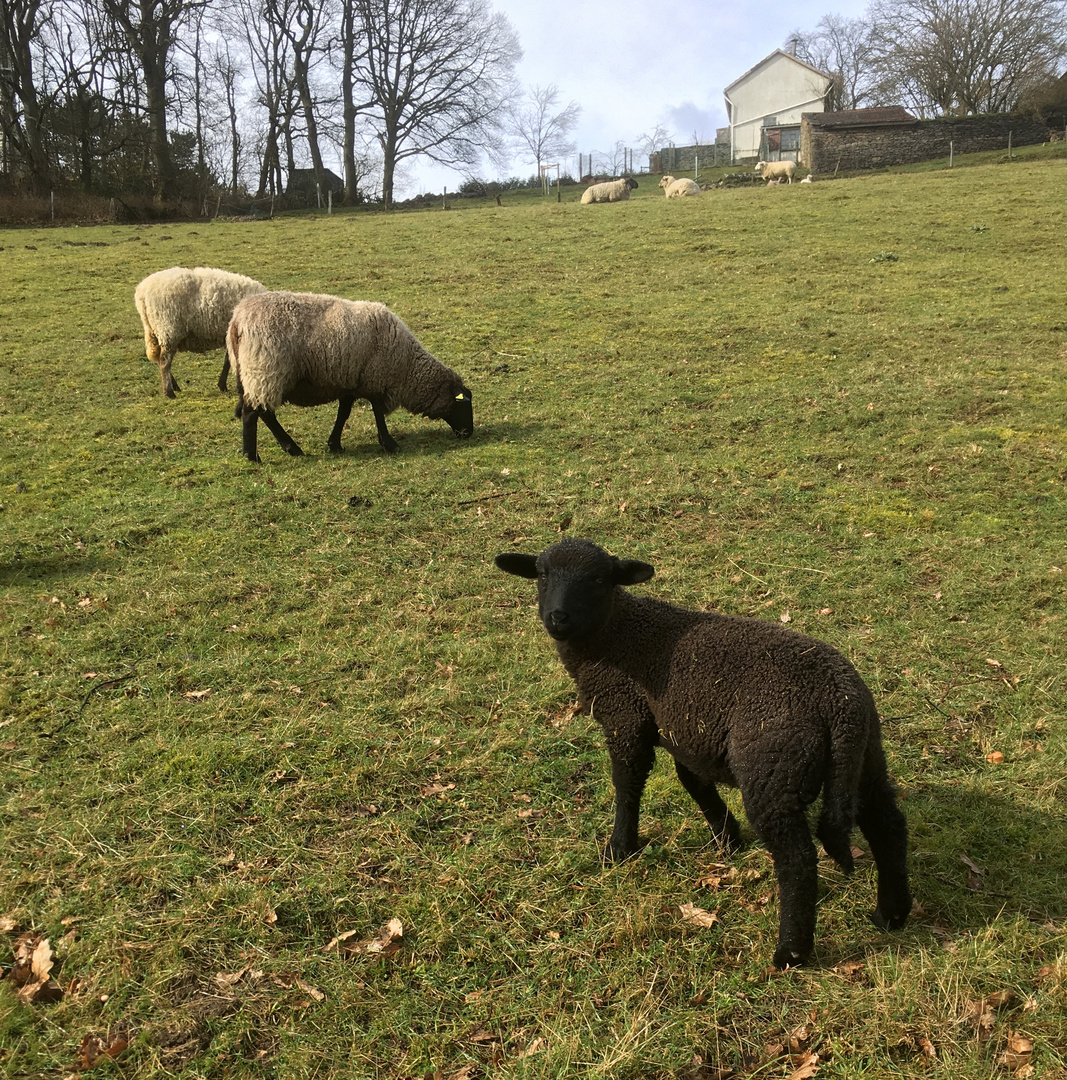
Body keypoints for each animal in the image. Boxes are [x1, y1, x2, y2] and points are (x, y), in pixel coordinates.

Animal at [133, 265, 268, 397]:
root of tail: (142, 292)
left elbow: (228, 360)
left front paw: (222, 385)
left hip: (154, 330)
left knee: (158, 358)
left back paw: (174, 386)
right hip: (168, 329)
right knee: (164, 361)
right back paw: (169, 392)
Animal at [226, 291, 473, 464]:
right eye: (463, 405)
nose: (469, 433)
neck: (406, 367)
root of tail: (237, 321)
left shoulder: (351, 382)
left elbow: (343, 413)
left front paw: (334, 444)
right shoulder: (375, 380)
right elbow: (377, 413)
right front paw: (389, 444)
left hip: (252, 374)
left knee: (259, 412)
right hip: (266, 371)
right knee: (255, 413)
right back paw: (259, 454)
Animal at [492, 540, 907, 972]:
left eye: (598, 579)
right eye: (541, 574)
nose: (558, 617)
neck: (615, 636)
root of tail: (839, 703)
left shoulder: (626, 716)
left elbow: (627, 782)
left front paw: (619, 848)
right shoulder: (689, 731)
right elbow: (693, 780)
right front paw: (727, 838)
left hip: (772, 768)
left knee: (797, 859)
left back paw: (790, 952)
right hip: (863, 759)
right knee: (888, 824)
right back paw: (891, 914)